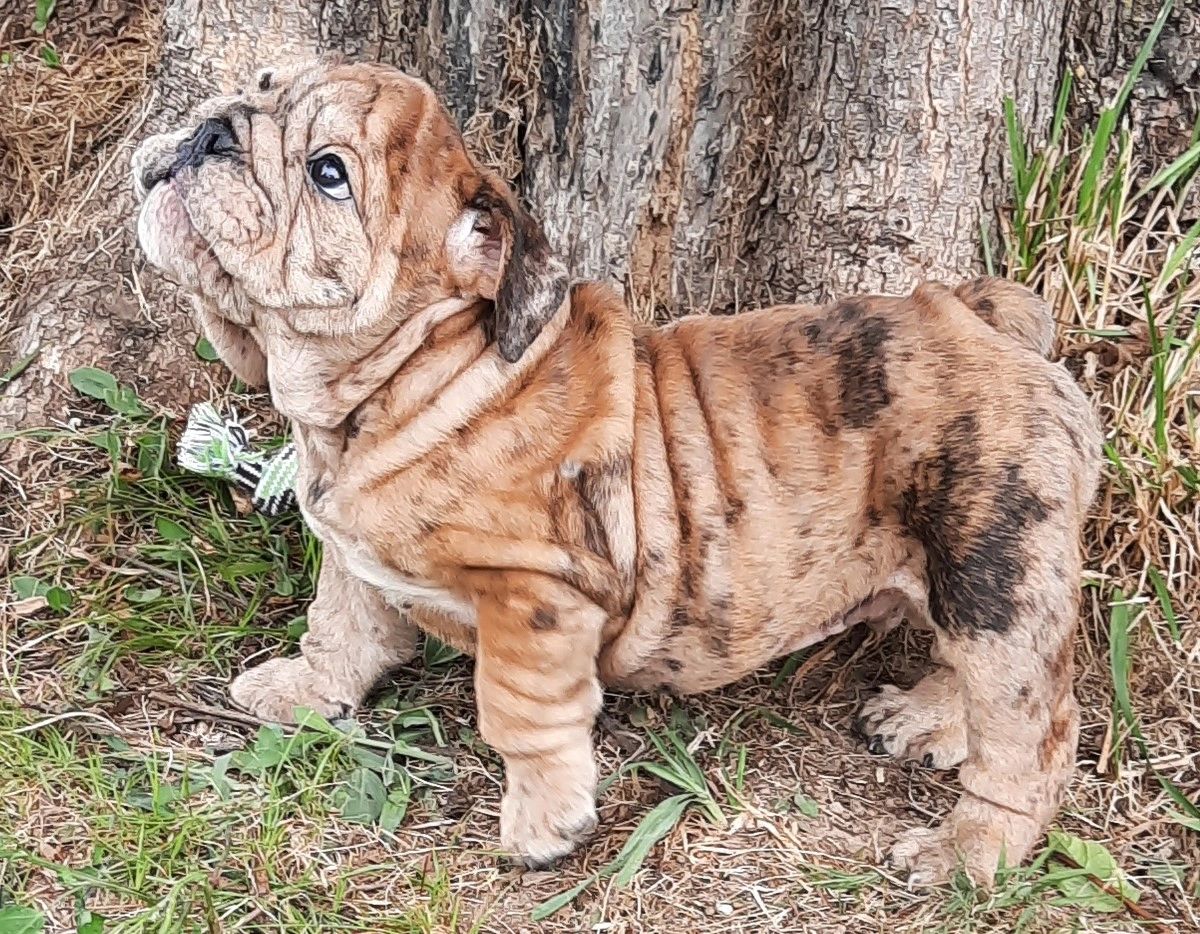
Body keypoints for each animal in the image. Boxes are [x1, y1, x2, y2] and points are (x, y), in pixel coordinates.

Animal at [129, 60, 1099, 878]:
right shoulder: (355, 558)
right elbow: (340, 625)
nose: (211, 130)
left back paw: (969, 850)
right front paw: (301, 688)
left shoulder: (538, 596)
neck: (411, 379)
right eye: (256, 87)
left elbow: (521, 712)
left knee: (1033, 723)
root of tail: (982, 316)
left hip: (994, 564)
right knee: (970, 667)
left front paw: (544, 824)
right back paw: (929, 719)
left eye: (328, 172)